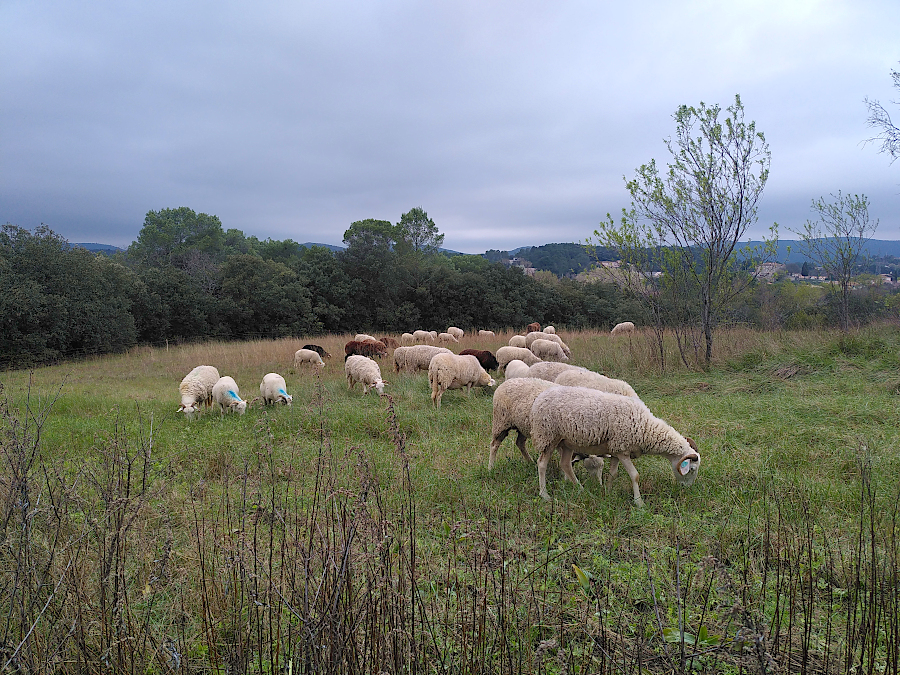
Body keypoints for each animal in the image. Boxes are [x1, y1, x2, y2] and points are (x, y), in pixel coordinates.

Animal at [530, 387, 700, 505]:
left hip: (566, 442)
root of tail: (539, 398)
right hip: (548, 436)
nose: (687, 489)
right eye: (691, 469)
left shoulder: (616, 450)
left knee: (565, 464)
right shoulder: (623, 449)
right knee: (542, 464)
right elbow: (635, 475)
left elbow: (613, 474)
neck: (646, 427)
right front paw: (639, 503)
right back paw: (545, 495)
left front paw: (608, 492)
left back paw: (581, 489)